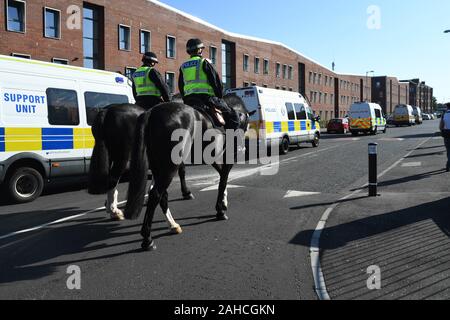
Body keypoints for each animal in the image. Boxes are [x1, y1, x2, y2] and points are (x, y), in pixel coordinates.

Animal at [88, 104, 193, 234]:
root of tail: (106, 111)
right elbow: (181, 171)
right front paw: (186, 193)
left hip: (111, 155)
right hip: (122, 158)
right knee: (112, 180)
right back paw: (114, 212)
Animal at [125, 94, 255, 250]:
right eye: (246, 123)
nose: (243, 147)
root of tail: (150, 113)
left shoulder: (213, 158)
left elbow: (221, 177)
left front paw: (223, 203)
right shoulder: (228, 158)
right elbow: (223, 180)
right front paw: (220, 210)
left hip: (158, 166)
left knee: (161, 194)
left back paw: (172, 225)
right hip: (169, 166)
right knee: (155, 194)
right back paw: (147, 239)